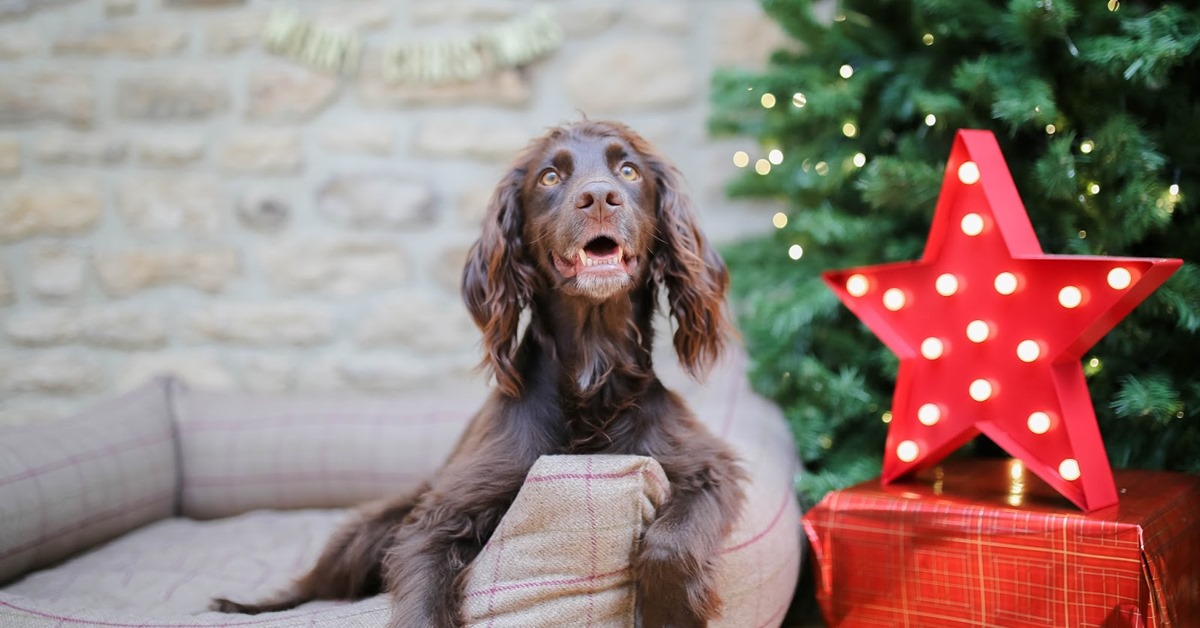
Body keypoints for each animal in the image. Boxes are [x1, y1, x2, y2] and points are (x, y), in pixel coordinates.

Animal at [211, 121, 744, 628]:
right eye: (550, 177)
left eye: (629, 171)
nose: (598, 197)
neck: (591, 374)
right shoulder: (439, 516)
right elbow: (424, 597)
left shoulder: (707, 469)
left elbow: (671, 538)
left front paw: (672, 614)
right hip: (373, 524)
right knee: (312, 586)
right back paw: (244, 604)